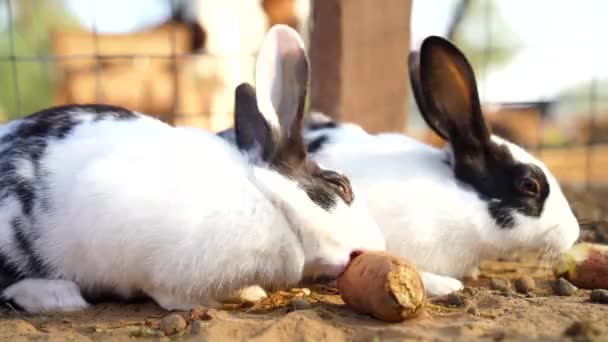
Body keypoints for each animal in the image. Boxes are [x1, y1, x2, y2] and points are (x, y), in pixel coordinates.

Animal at [0, 24, 384, 312]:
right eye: (340, 186)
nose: (378, 247)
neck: (269, 201)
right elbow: (160, 288)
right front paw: (204, 302)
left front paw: (249, 292)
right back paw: (56, 297)